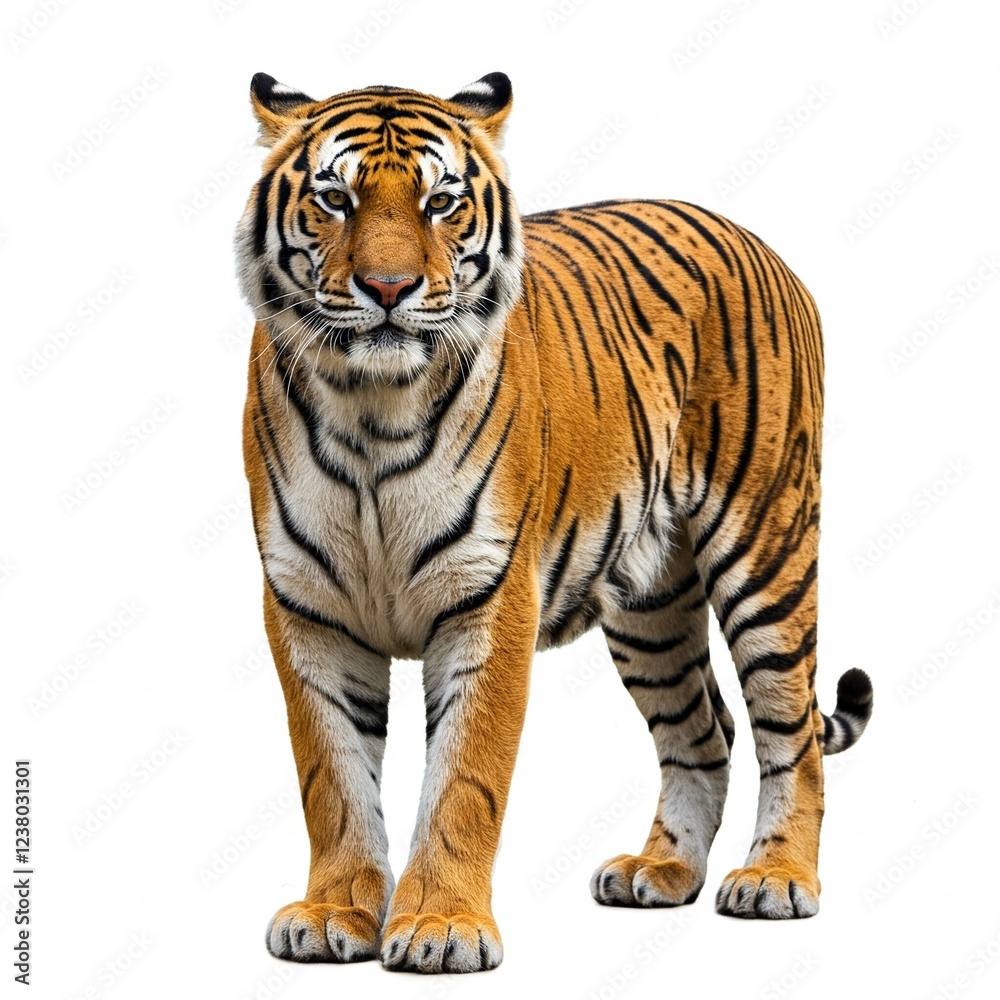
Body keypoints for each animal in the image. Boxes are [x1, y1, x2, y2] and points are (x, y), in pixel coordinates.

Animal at [236, 70, 874, 974]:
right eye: (335, 198)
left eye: (439, 202)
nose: (388, 290)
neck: (371, 407)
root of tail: (756, 241)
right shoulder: (307, 607)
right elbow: (333, 776)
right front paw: (335, 914)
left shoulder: (489, 597)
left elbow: (464, 777)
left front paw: (441, 926)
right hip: (650, 603)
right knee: (703, 730)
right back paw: (661, 870)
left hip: (767, 549)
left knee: (791, 730)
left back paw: (776, 879)